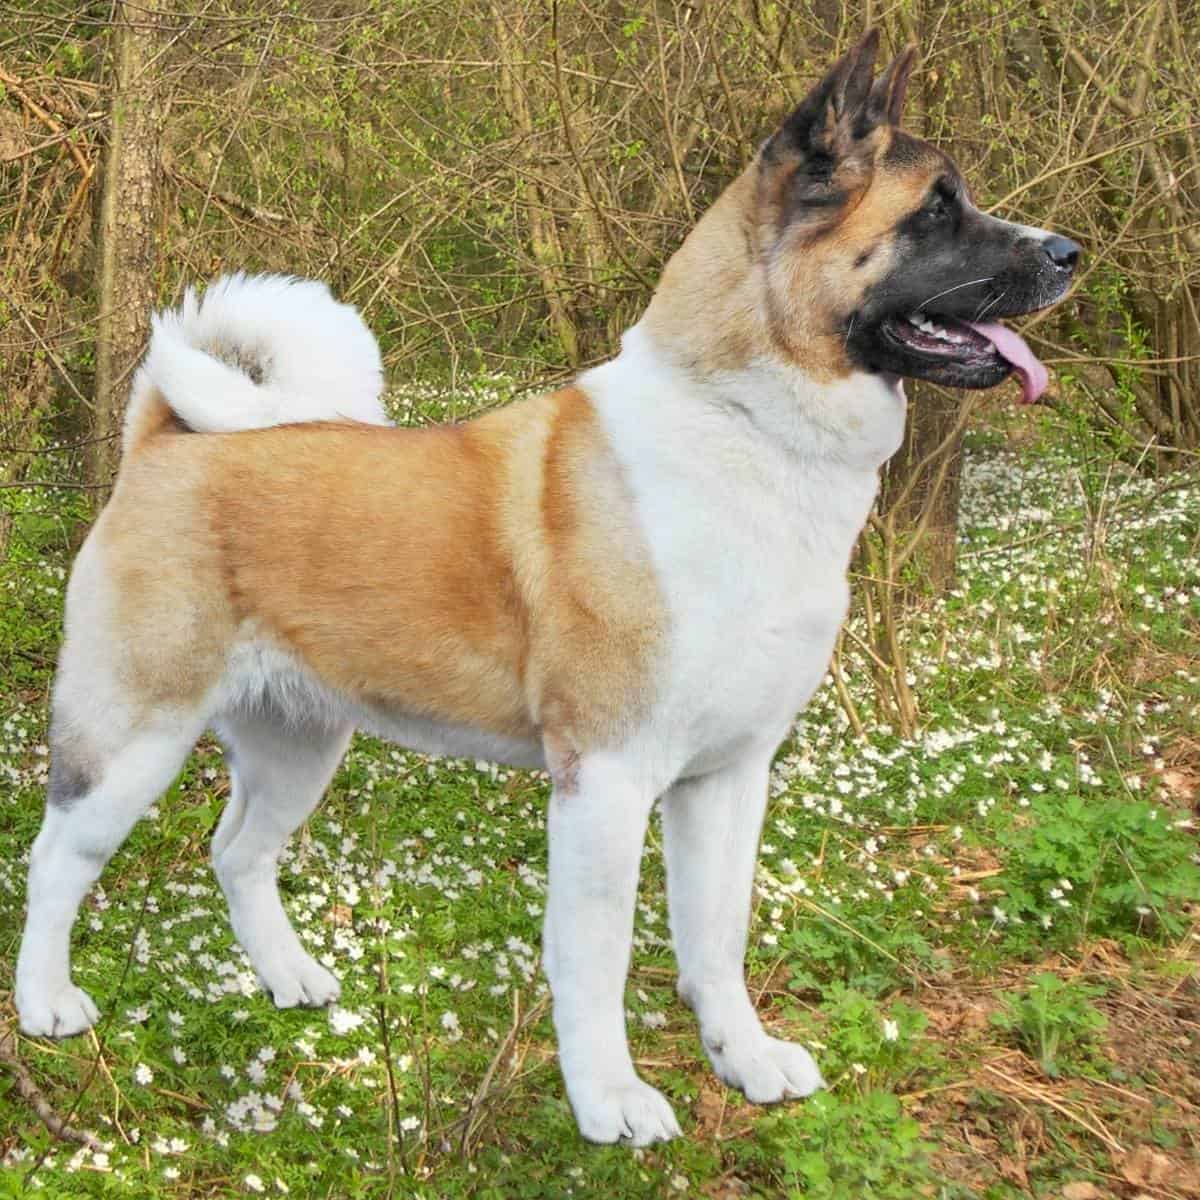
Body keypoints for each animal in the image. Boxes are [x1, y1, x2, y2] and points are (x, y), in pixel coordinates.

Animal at [14, 30, 1080, 1142]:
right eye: (936, 211)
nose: (1068, 254)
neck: (744, 427)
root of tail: (166, 440)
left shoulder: (729, 778)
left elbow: (717, 939)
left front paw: (742, 1059)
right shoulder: (606, 780)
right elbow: (597, 959)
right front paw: (610, 1099)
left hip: (301, 742)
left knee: (236, 854)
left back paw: (291, 977)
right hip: (133, 737)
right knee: (57, 859)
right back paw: (46, 1004)